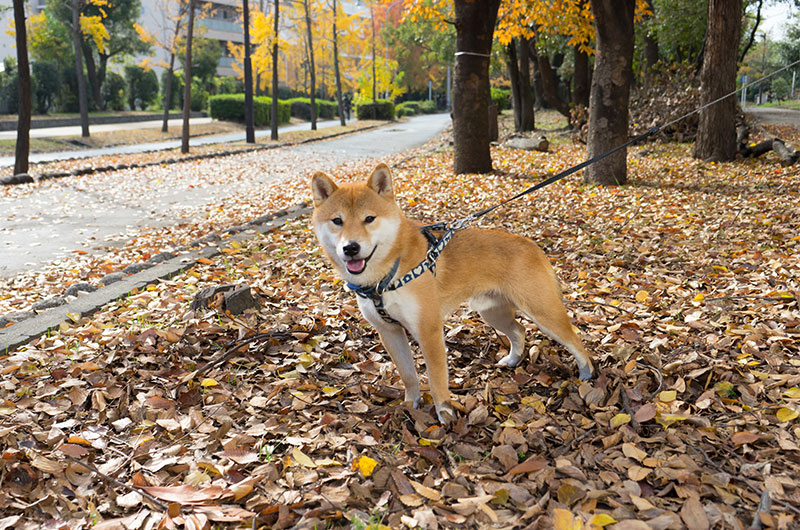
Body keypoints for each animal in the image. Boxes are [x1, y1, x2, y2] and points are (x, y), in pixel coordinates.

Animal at [312, 163, 592, 418]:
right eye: (337, 221)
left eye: (369, 219)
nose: (350, 248)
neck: (388, 274)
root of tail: (532, 244)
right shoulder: (389, 331)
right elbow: (408, 375)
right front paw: (410, 404)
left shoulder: (429, 331)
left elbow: (436, 378)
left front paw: (444, 412)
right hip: (492, 313)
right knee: (519, 331)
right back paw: (513, 360)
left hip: (543, 314)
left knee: (576, 341)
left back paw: (587, 375)